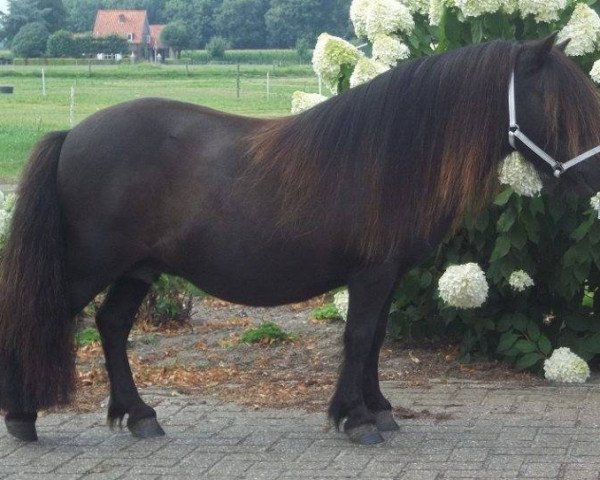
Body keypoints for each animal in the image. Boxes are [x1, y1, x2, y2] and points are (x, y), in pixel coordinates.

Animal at [1, 34, 600, 446]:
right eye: (557, 105)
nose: (595, 181)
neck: (391, 153)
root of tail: (71, 135)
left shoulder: (387, 276)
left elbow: (375, 339)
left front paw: (377, 408)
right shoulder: (371, 273)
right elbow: (358, 338)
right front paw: (356, 419)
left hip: (138, 267)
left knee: (112, 326)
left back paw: (141, 415)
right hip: (87, 267)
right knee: (39, 317)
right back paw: (23, 416)